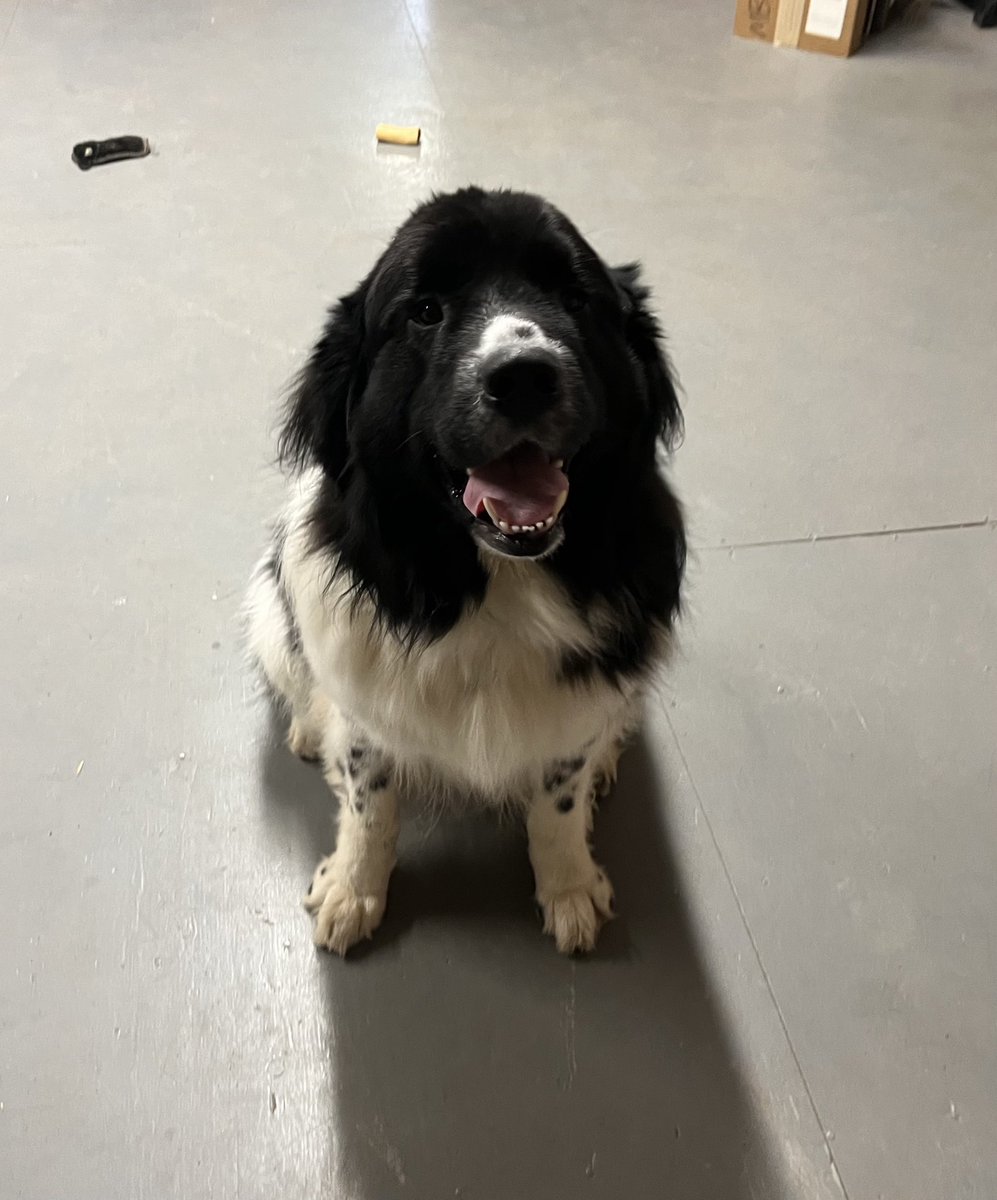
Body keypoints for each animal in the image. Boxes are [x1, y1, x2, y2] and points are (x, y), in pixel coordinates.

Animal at [247, 187, 686, 955]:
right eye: (425, 310)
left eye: (574, 298)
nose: (524, 375)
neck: (496, 584)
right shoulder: (366, 710)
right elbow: (370, 805)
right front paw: (353, 890)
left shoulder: (576, 707)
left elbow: (557, 804)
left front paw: (569, 887)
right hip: (273, 611)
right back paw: (306, 729)